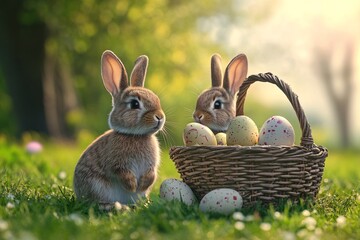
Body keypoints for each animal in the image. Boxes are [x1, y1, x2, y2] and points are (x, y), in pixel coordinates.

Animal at [75, 50, 167, 210]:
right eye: (135, 104)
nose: (160, 117)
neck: (135, 136)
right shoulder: (117, 165)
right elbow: (122, 173)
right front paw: (133, 186)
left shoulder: (151, 167)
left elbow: (151, 175)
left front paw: (141, 186)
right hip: (97, 186)